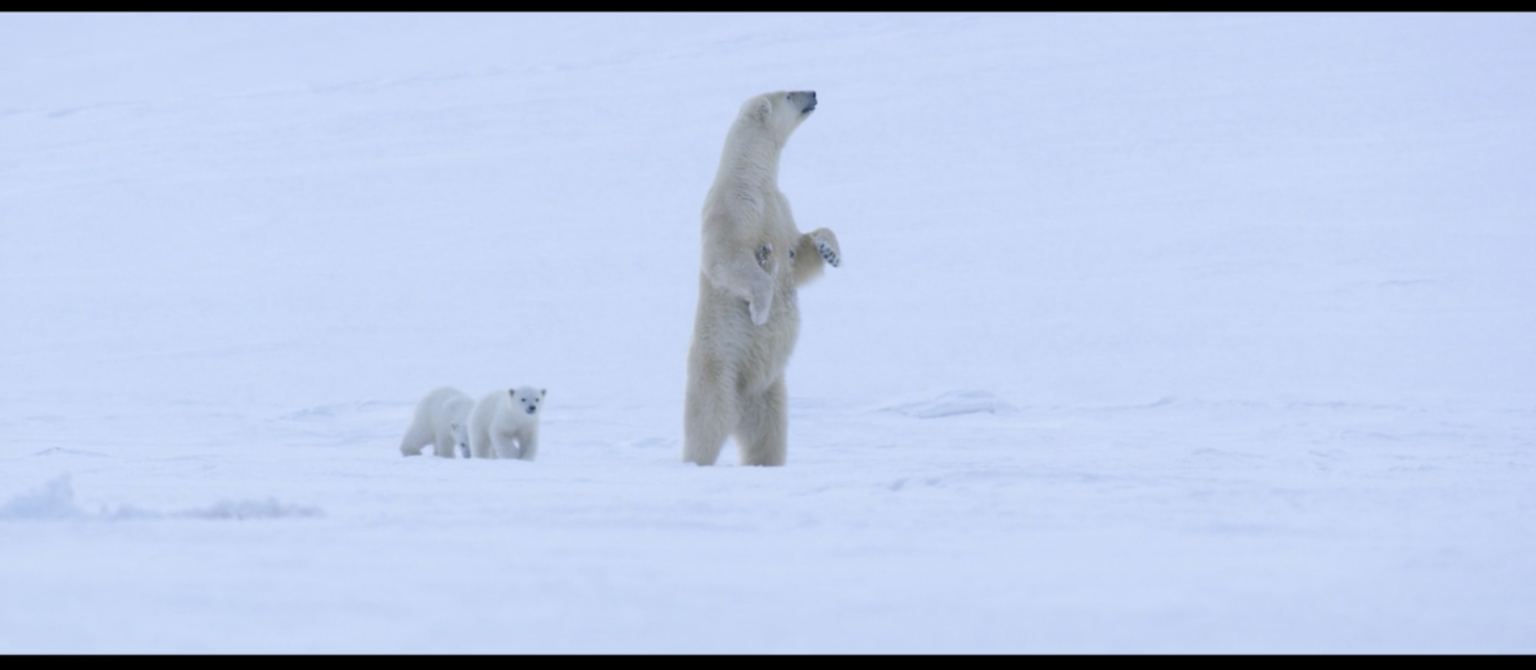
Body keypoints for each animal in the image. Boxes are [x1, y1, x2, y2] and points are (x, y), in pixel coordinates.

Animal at [685, 89, 841, 467]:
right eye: (789, 93)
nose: (814, 92)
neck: (751, 175)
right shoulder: (732, 208)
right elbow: (727, 259)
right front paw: (761, 311)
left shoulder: (780, 208)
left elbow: (800, 254)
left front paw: (829, 250)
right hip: (718, 371)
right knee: (706, 425)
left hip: (771, 390)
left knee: (768, 436)